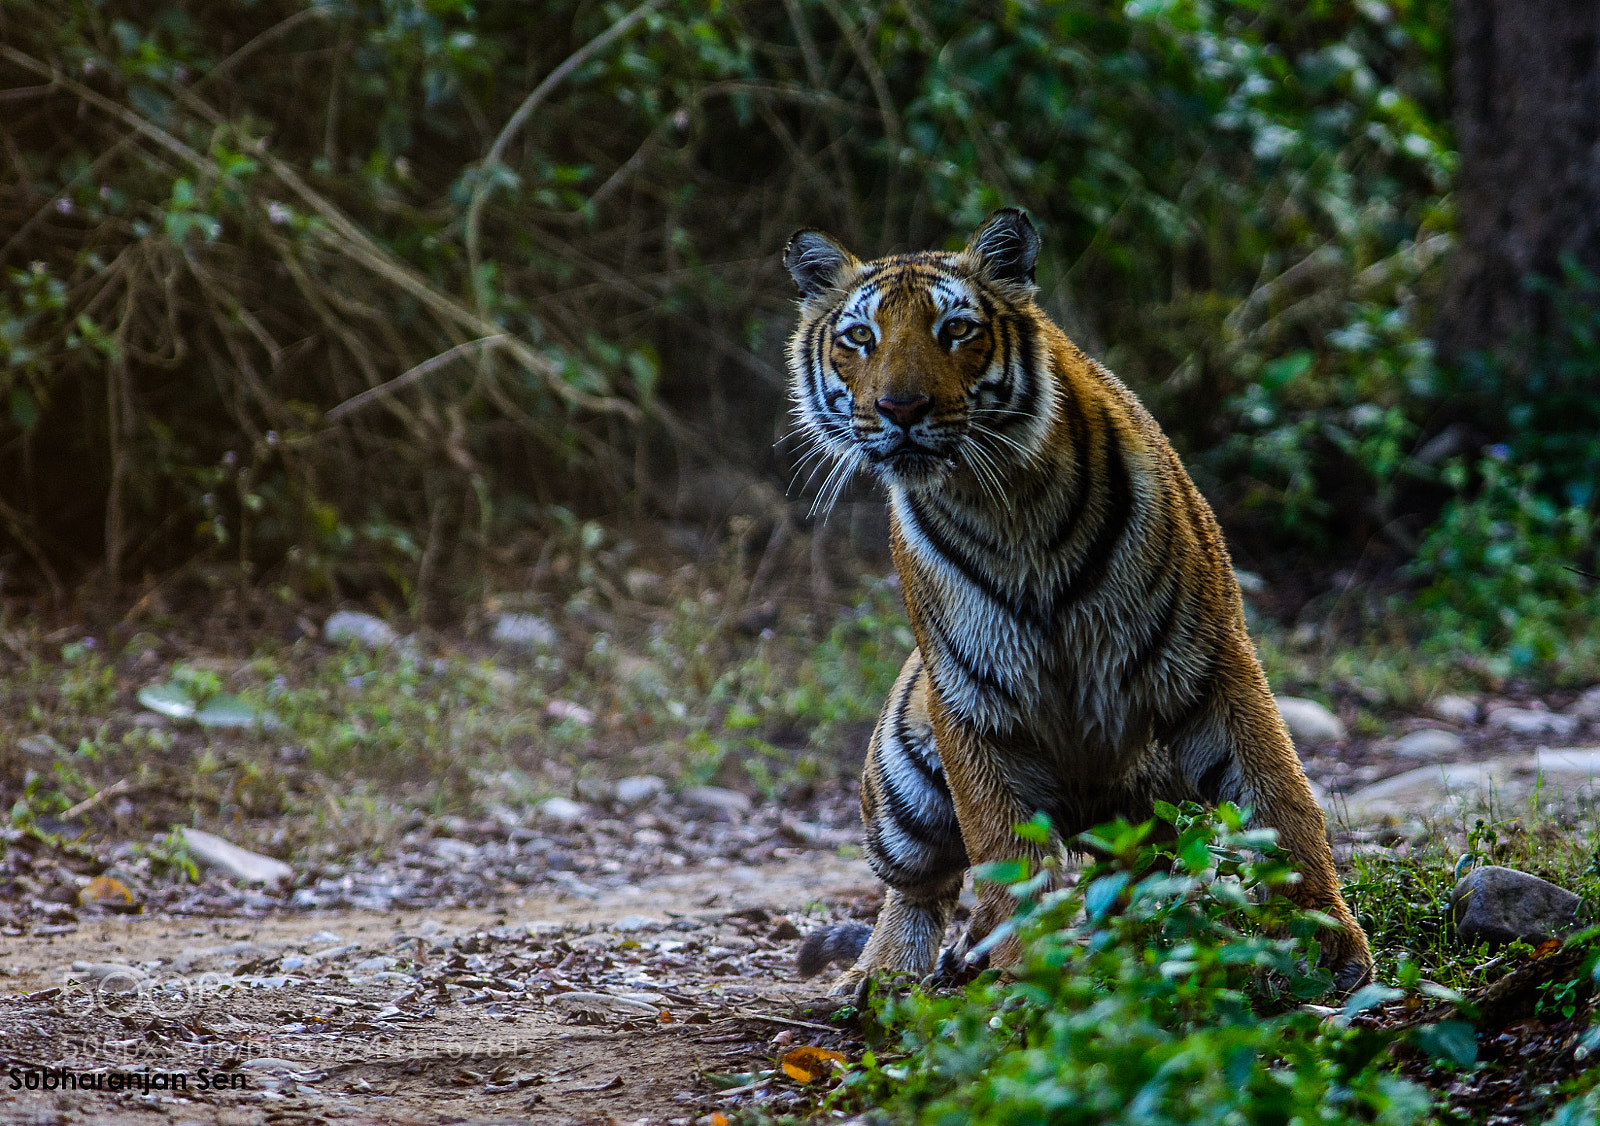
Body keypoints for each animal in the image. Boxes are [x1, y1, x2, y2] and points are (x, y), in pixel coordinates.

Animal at [783, 208, 1372, 997]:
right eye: (859, 339)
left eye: (955, 330)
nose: (899, 408)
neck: (1004, 505)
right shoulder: (971, 695)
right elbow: (1004, 853)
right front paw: (1029, 974)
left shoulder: (1211, 659)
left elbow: (1281, 801)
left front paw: (1327, 942)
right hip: (904, 777)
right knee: (918, 888)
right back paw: (882, 977)